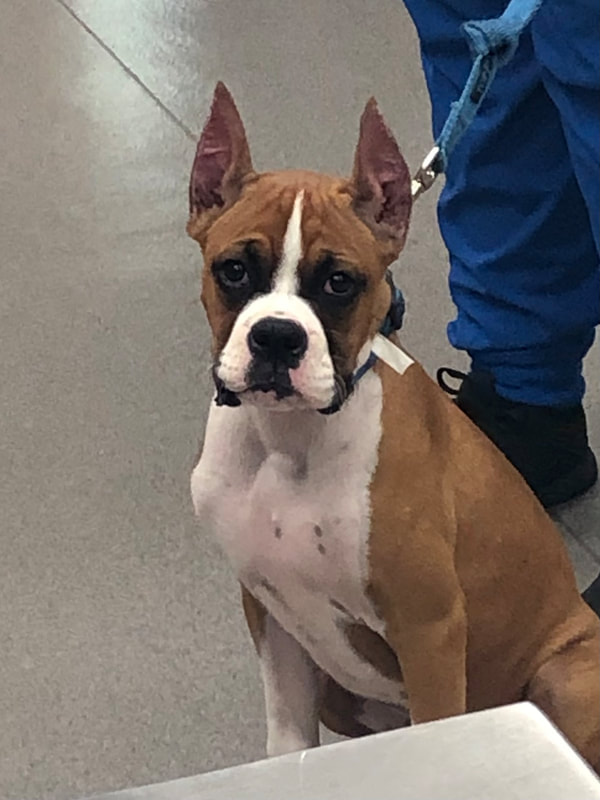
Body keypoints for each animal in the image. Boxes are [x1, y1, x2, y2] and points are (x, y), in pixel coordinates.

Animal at [189, 84, 600, 764]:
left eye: (339, 282)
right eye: (234, 270)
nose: (276, 336)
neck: (290, 441)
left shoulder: (428, 628)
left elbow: (434, 729)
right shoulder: (270, 611)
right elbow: (287, 740)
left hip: (561, 675)